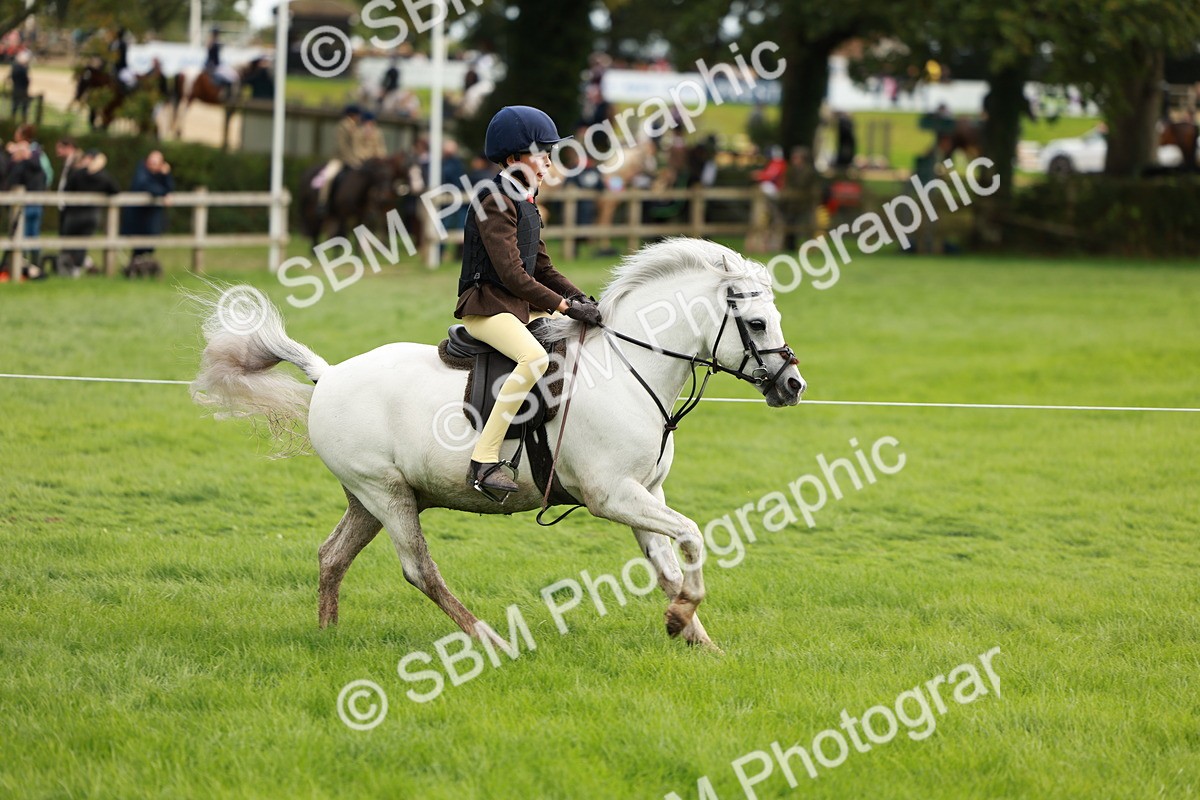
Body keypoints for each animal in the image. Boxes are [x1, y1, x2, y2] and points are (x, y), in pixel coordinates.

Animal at [188, 238, 806, 651]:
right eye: (755, 324)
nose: (792, 386)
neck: (629, 370)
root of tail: (330, 373)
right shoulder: (612, 495)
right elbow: (694, 537)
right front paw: (681, 623)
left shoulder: (645, 493)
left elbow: (670, 567)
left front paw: (696, 636)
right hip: (386, 494)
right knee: (419, 570)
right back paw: (488, 637)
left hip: (370, 497)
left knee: (332, 555)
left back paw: (328, 635)